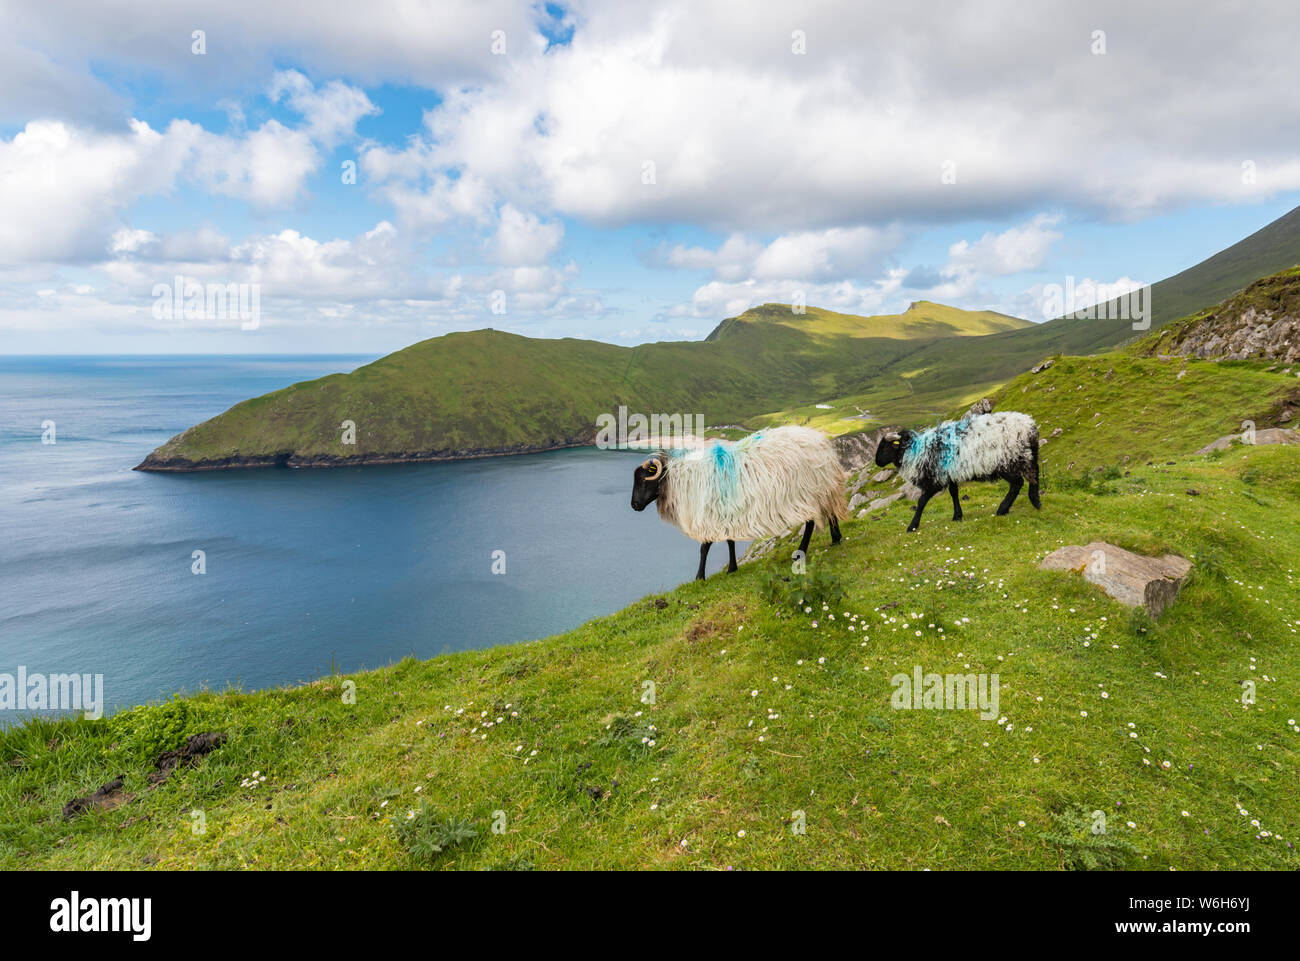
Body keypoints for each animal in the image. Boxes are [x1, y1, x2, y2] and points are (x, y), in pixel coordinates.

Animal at [631, 426, 852, 579]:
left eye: (643, 479)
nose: (634, 505)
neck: (680, 482)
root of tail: (821, 442)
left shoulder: (710, 514)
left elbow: (704, 548)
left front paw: (700, 577)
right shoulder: (726, 512)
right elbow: (729, 541)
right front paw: (732, 568)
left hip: (806, 492)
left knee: (811, 522)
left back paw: (802, 552)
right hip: (821, 488)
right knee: (830, 513)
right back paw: (836, 538)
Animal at [873, 410, 1045, 533]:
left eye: (884, 447)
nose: (877, 462)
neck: (915, 450)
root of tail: (1029, 426)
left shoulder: (934, 480)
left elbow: (921, 502)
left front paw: (912, 526)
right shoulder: (950, 473)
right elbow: (954, 493)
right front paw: (957, 516)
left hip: (1006, 460)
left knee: (1017, 483)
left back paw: (1003, 509)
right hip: (1027, 455)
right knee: (1034, 474)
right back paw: (1035, 501)